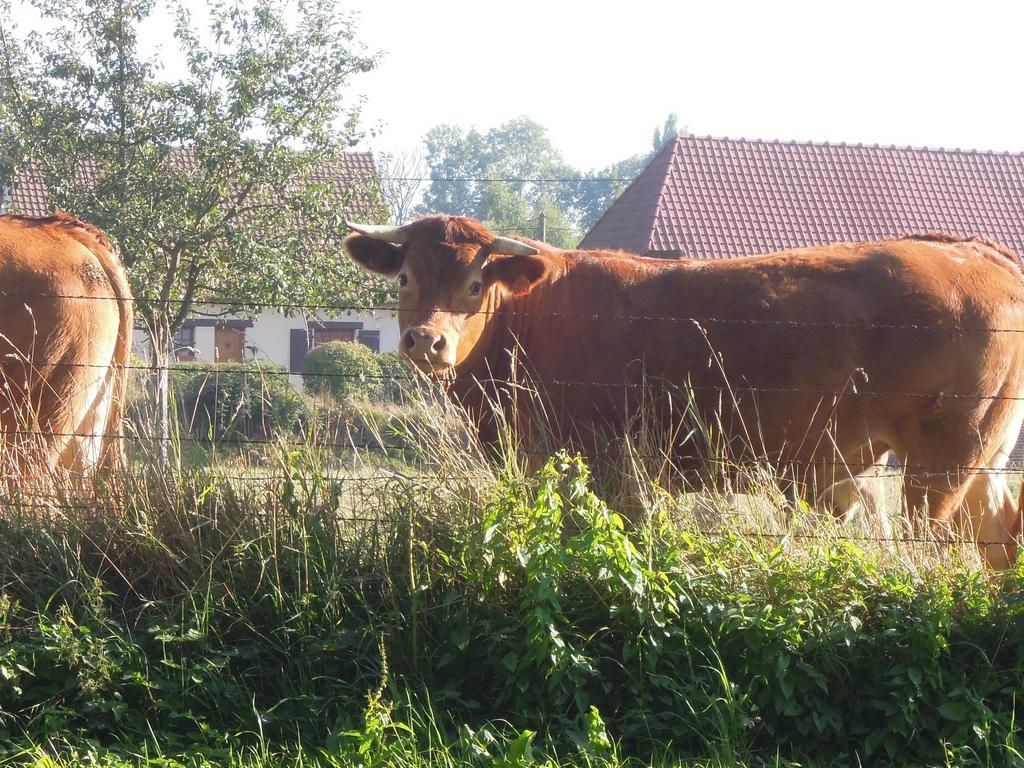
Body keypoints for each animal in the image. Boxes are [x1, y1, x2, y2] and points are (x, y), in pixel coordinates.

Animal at [346, 214, 1024, 569]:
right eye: (404, 278)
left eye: (473, 283)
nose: (425, 341)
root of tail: (976, 253)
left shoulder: (603, 462)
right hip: (979, 458)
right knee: (1000, 535)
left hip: (941, 460)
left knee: (938, 547)